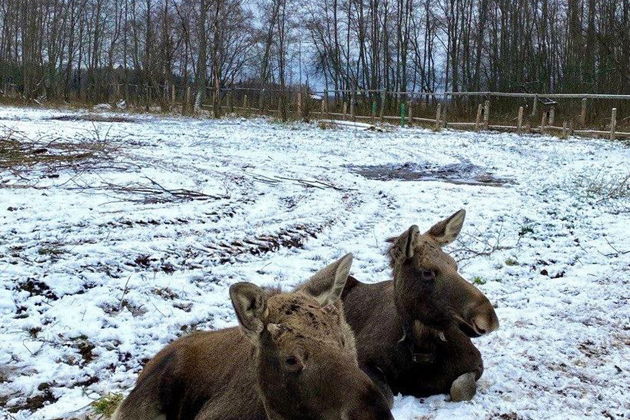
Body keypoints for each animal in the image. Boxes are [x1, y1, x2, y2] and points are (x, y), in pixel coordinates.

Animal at [344, 209, 502, 404]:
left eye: (455, 264)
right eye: (427, 272)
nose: (488, 319)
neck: (423, 352)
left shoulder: (476, 363)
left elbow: (460, 388)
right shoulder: (361, 358)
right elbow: (387, 396)